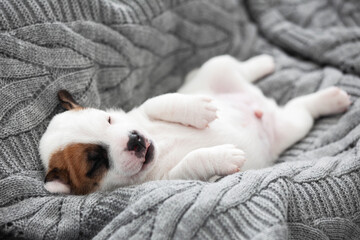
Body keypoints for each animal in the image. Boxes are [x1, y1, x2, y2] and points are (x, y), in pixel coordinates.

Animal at [40, 55, 352, 195]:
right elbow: (194, 160)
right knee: (303, 108)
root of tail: (260, 103)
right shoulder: (172, 179)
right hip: (293, 125)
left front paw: (197, 109)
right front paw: (223, 156)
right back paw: (332, 98)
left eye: (108, 119)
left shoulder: (142, 112)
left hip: (217, 67)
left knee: (235, 66)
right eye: (96, 162)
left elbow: (160, 101)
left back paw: (263, 62)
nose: (135, 140)